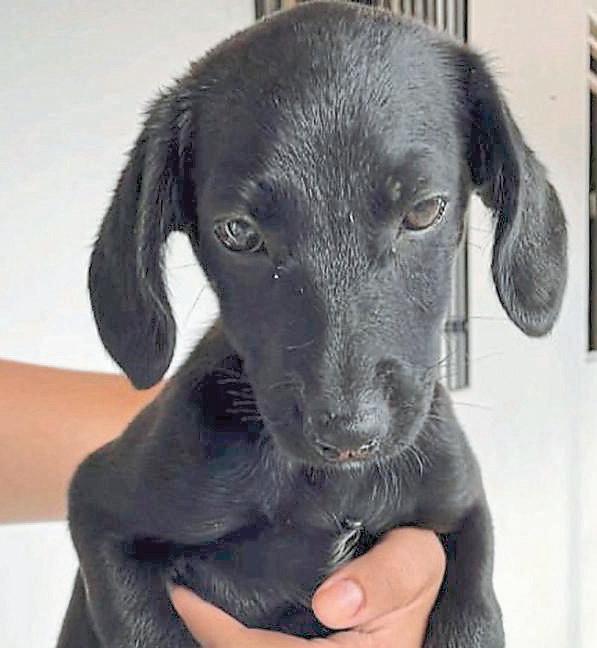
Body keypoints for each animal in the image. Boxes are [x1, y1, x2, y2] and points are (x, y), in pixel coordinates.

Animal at [57, 2, 567, 646]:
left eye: (424, 210)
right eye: (238, 232)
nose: (349, 434)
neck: (326, 489)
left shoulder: (460, 507)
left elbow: (475, 613)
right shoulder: (98, 508)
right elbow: (150, 629)